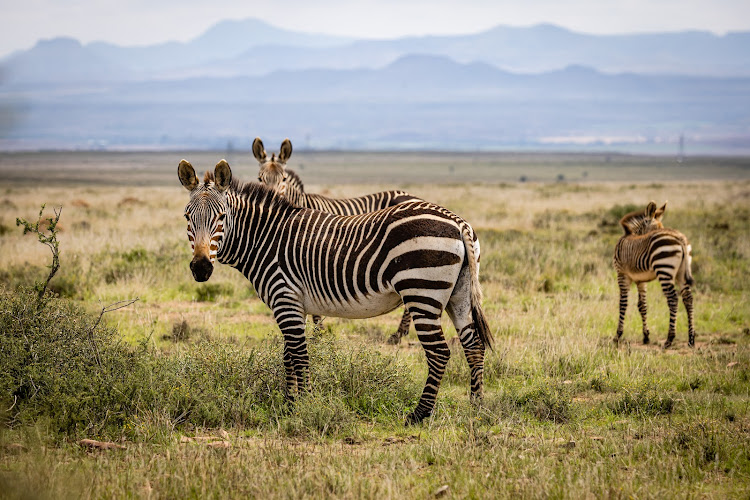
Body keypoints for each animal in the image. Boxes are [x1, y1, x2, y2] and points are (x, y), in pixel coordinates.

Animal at [176, 159, 494, 422]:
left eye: (221, 217)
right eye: (187, 217)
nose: (201, 268)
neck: (264, 238)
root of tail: (458, 222)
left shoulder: (285, 298)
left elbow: (300, 355)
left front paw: (304, 406)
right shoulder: (294, 305)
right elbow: (288, 356)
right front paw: (289, 404)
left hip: (422, 292)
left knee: (439, 352)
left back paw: (419, 414)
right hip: (458, 296)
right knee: (473, 345)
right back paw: (476, 406)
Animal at [612, 201, 696, 350]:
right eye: (657, 228)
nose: (664, 230)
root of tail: (679, 238)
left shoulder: (622, 275)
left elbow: (623, 304)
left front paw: (617, 336)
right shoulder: (641, 280)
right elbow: (642, 306)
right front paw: (646, 336)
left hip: (664, 270)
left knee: (673, 299)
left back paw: (669, 339)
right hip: (681, 274)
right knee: (688, 299)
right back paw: (691, 339)